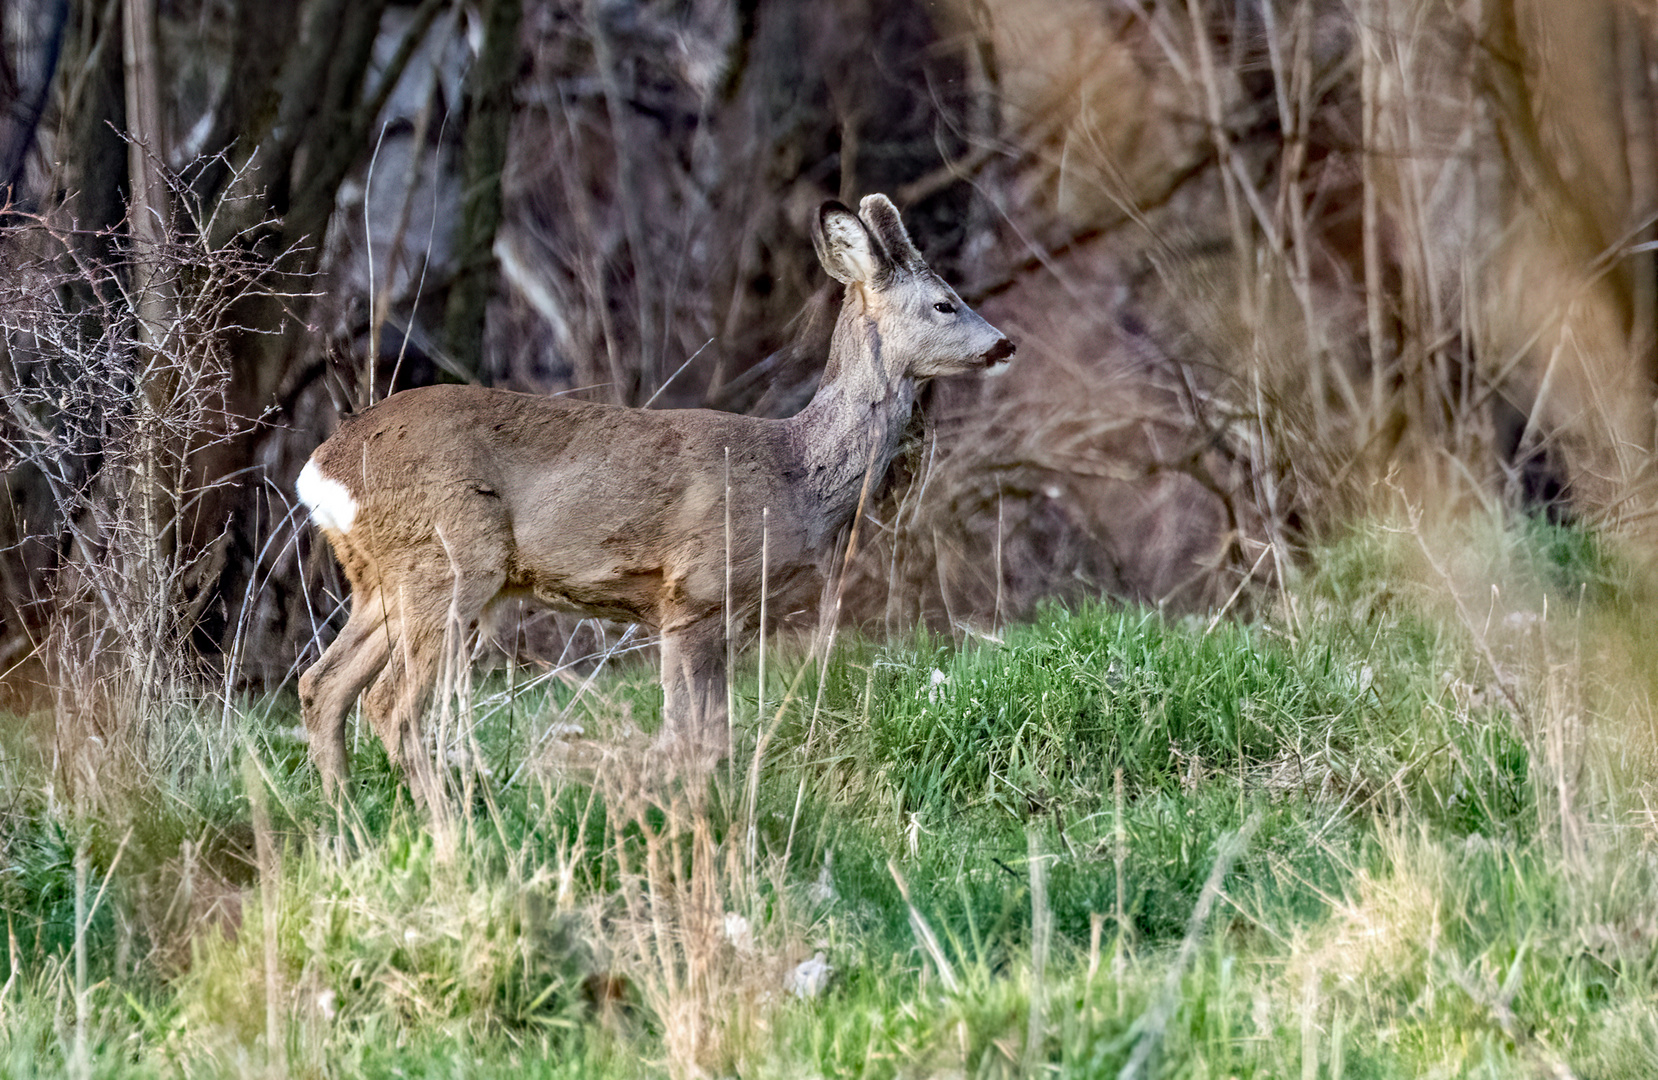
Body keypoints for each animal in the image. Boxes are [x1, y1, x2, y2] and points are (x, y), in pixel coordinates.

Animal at [296, 194, 1008, 806]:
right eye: (945, 303)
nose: (1006, 344)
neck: (795, 473)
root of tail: (322, 469)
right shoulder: (694, 592)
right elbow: (690, 735)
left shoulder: (721, 613)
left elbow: (713, 733)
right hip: (449, 560)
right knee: (388, 703)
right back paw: (445, 824)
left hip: (380, 581)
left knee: (322, 685)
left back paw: (345, 822)